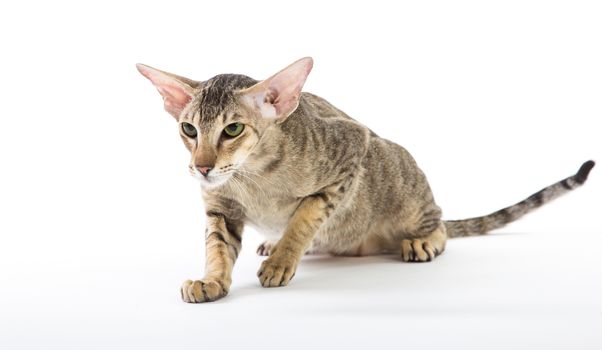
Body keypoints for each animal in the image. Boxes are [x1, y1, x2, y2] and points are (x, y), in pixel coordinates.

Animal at [135, 56, 592, 302]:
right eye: (189, 130)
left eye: (232, 130)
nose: (202, 167)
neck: (251, 178)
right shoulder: (220, 207)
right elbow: (217, 247)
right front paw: (212, 280)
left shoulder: (352, 149)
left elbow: (305, 217)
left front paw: (284, 258)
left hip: (397, 170)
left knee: (441, 223)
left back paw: (423, 241)